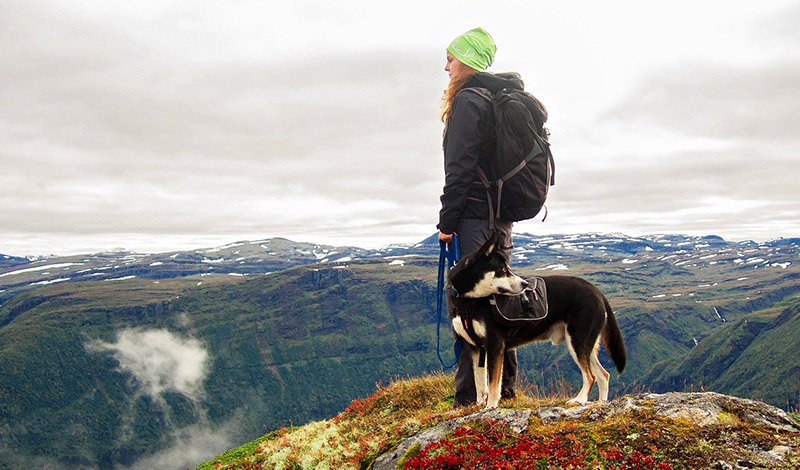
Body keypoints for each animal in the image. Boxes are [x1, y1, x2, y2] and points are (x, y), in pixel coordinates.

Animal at [446, 231, 628, 408]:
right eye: (503, 269)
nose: (525, 284)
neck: (468, 301)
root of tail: (598, 292)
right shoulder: (475, 348)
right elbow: (480, 384)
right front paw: (478, 406)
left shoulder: (495, 345)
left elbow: (493, 385)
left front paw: (490, 407)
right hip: (584, 344)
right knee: (603, 375)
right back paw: (601, 403)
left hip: (577, 340)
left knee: (591, 376)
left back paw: (579, 400)